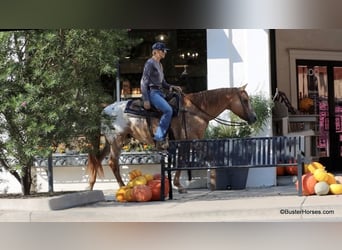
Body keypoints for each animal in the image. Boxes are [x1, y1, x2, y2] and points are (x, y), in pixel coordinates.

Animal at [86, 84, 256, 193]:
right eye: (245, 100)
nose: (254, 118)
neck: (194, 110)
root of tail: (104, 111)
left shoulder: (191, 141)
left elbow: (191, 159)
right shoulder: (191, 140)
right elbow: (187, 160)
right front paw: (181, 186)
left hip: (111, 142)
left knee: (98, 160)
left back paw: (90, 186)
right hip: (117, 141)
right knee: (112, 163)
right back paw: (122, 187)